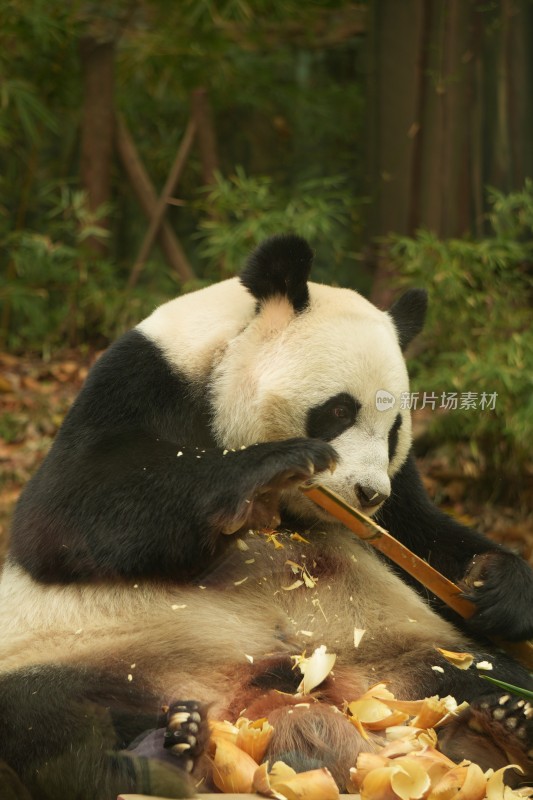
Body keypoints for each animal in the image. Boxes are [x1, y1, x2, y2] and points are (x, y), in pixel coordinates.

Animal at [1, 233, 532, 800]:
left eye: (394, 431)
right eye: (339, 411)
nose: (368, 493)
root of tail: (262, 707)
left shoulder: (400, 493)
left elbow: (421, 537)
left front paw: (498, 586)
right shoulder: (139, 381)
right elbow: (62, 513)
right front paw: (275, 464)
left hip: (406, 652)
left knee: (481, 675)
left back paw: (501, 729)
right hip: (105, 651)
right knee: (47, 717)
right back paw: (158, 756)